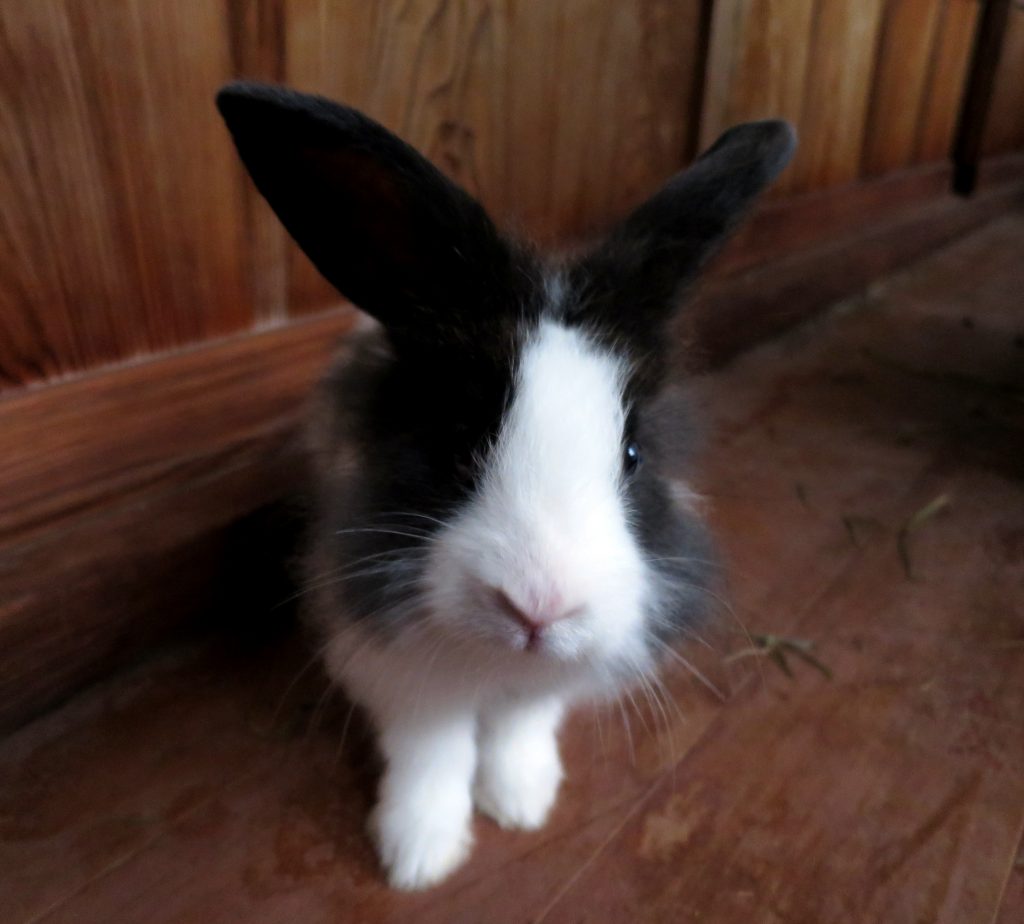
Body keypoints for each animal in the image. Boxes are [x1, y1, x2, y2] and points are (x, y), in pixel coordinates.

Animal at [214, 82, 790, 893]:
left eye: (634, 454)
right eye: (458, 440)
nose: (538, 607)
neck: (499, 661)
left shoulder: (545, 684)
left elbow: (520, 727)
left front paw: (520, 803)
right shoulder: (401, 671)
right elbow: (433, 752)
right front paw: (419, 855)